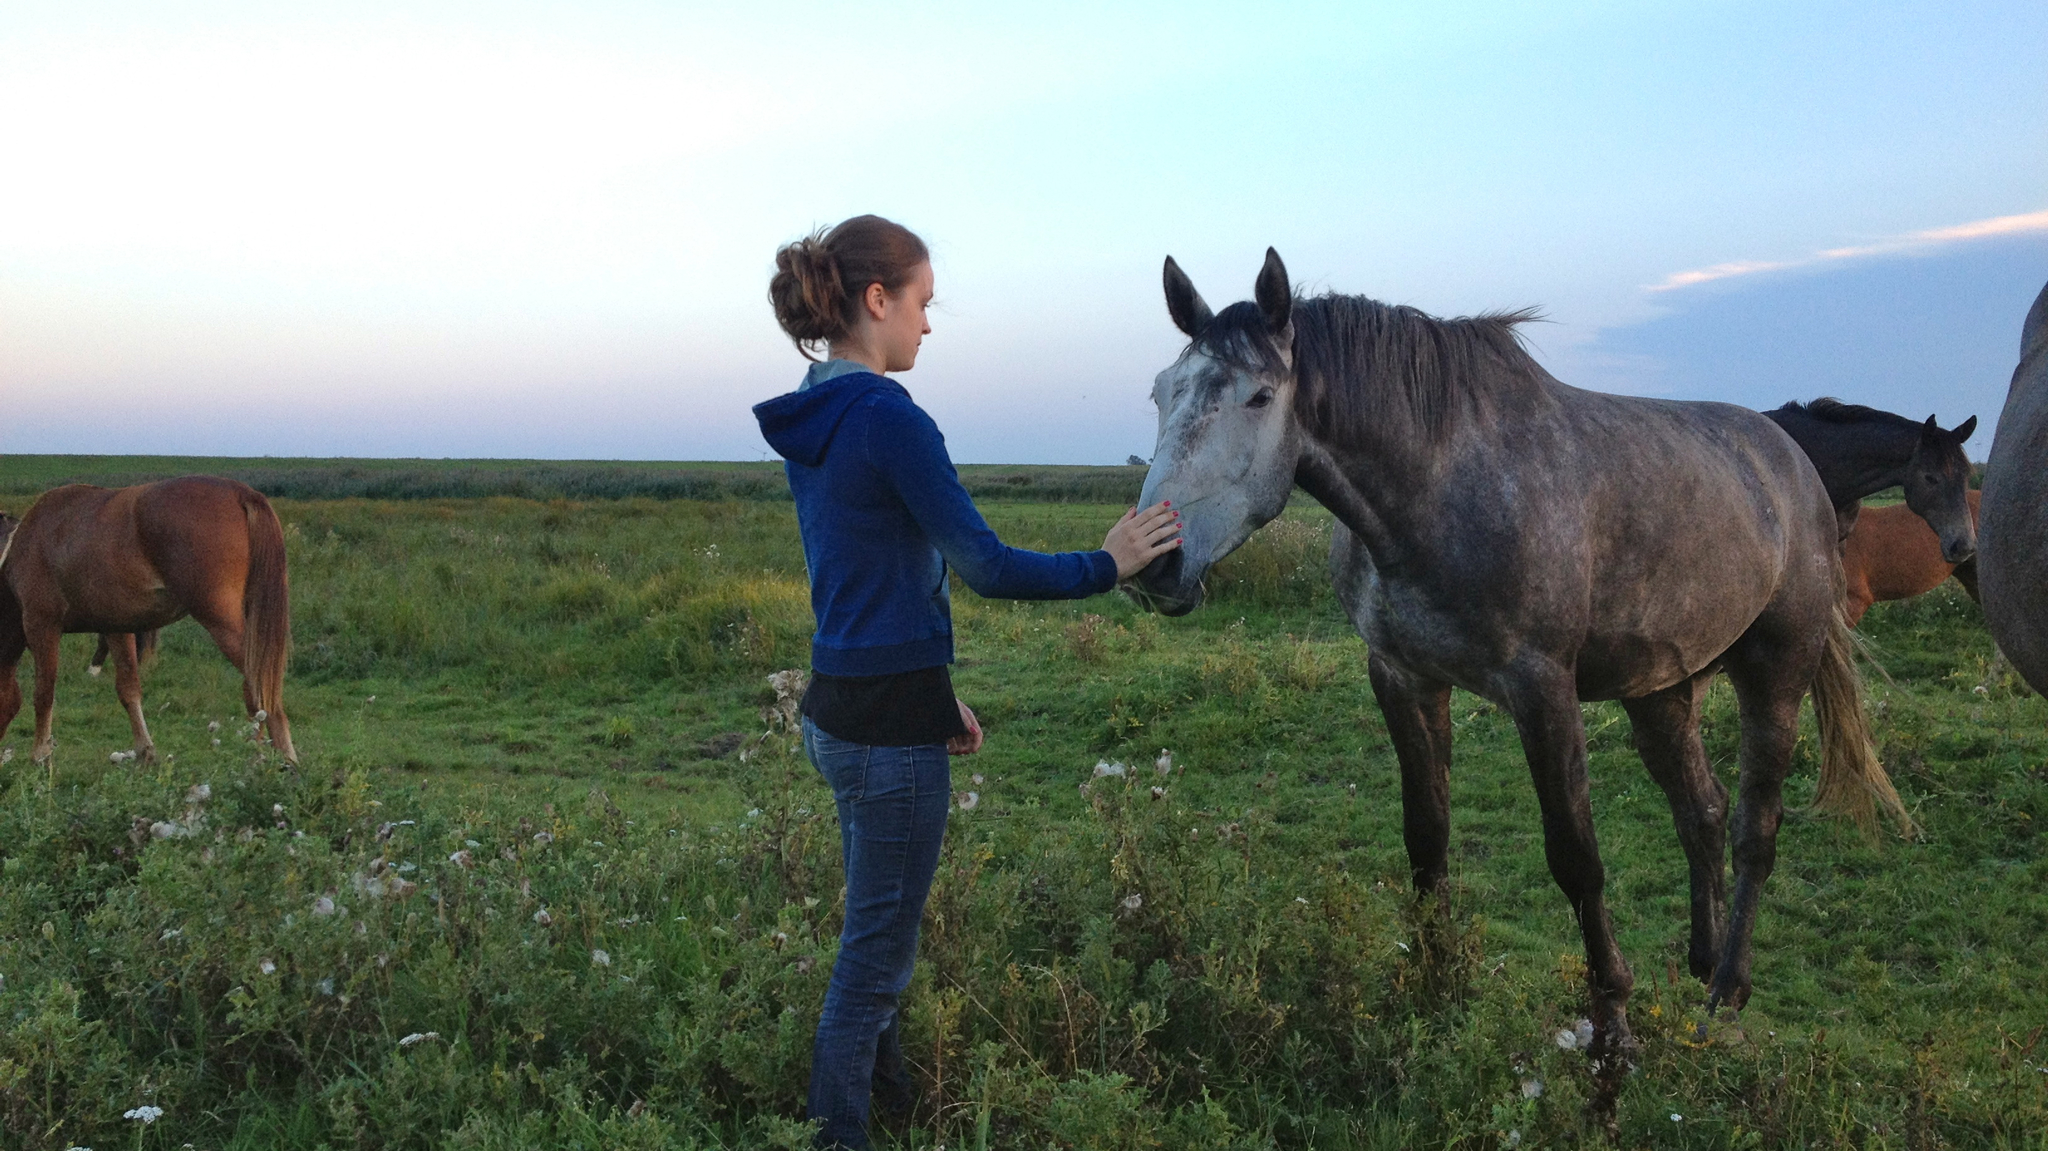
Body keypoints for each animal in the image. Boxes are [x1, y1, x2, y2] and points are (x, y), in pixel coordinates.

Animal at [0, 475, 299, 761]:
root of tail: (241, 492)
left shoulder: (41, 624)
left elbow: (44, 694)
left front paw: (40, 755)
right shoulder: (116, 628)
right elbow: (129, 689)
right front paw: (145, 752)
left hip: (222, 624)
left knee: (262, 692)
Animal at [1122, 246, 1900, 1064]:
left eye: (1260, 396)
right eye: (1161, 392)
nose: (1157, 564)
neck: (1436, 486)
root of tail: (1794, 464)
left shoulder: (1541, 689)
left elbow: (1576, 857)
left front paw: (1612, 1024)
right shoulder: (1403, 677)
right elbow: (1426, 836)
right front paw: (1433, 982)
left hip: (1776, 670)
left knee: (1756, 826)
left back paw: (1727, 990)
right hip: (1661, 687)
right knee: (1703, 811)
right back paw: (1701, 957)